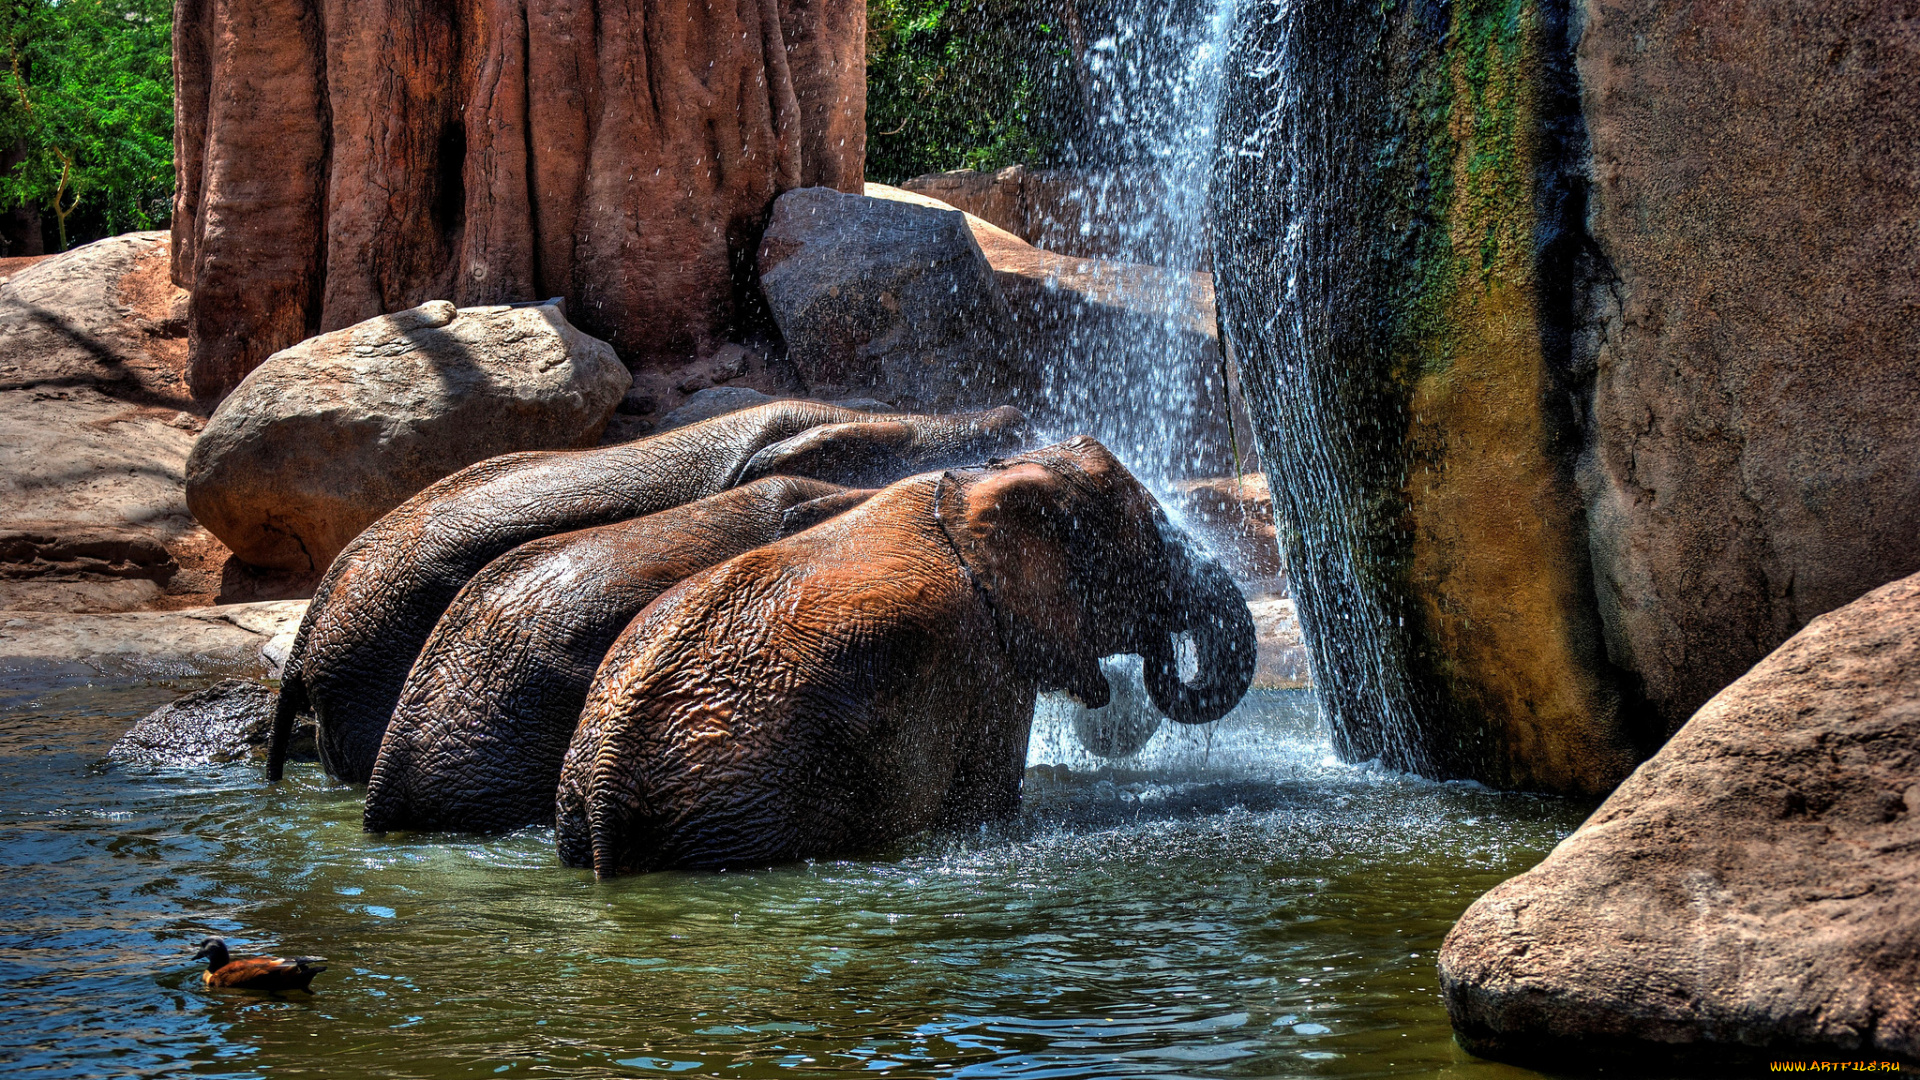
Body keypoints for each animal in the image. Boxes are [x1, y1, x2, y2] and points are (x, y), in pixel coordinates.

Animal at [552, 434, 1259, 876]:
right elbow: (987, 803)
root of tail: (610, 774)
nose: (1159, 650)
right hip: (747, 804)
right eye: (1151, 546)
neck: (988, 476)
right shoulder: (987, 660)